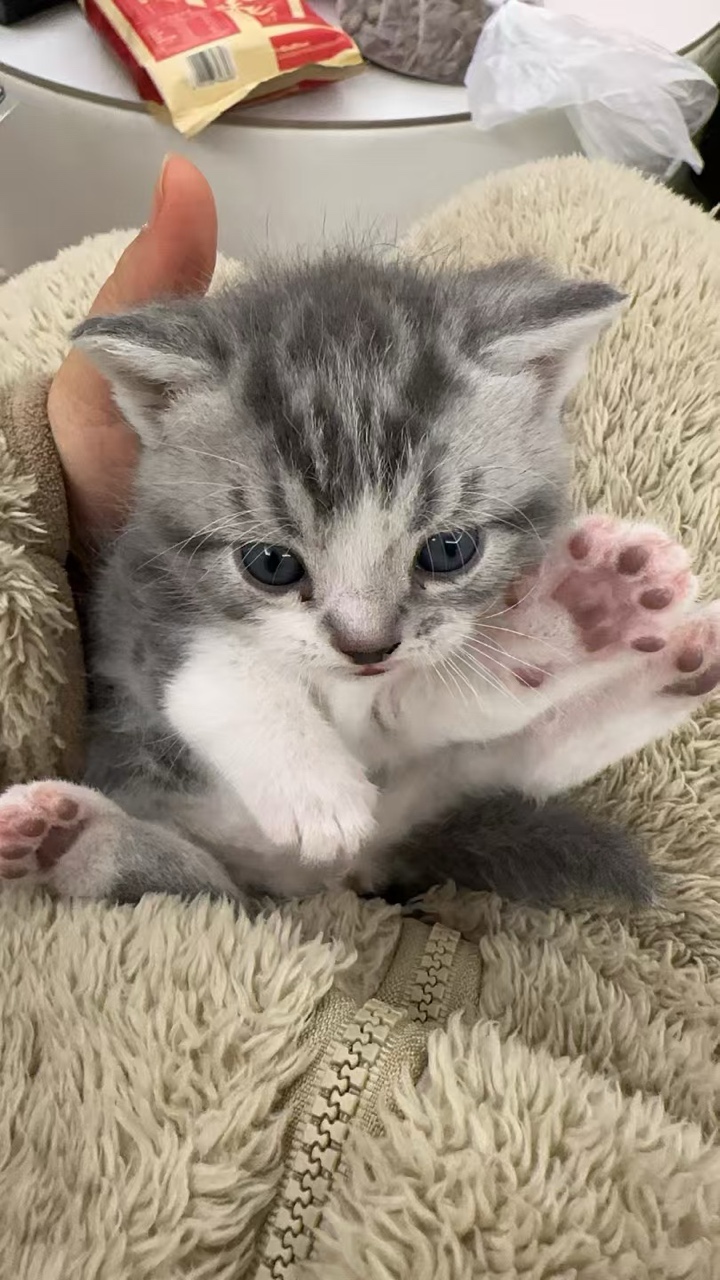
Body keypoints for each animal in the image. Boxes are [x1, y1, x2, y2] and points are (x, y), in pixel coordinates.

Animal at [1, 253, 718, 909]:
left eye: (449, 551)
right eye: (271, 564)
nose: (366, 647)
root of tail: (337, 876)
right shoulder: (134, 597)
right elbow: (217, 668)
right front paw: (314, 786)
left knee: (514, 749)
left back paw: (596, 624)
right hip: (194, 847)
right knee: (180, 880)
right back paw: (65, 840)